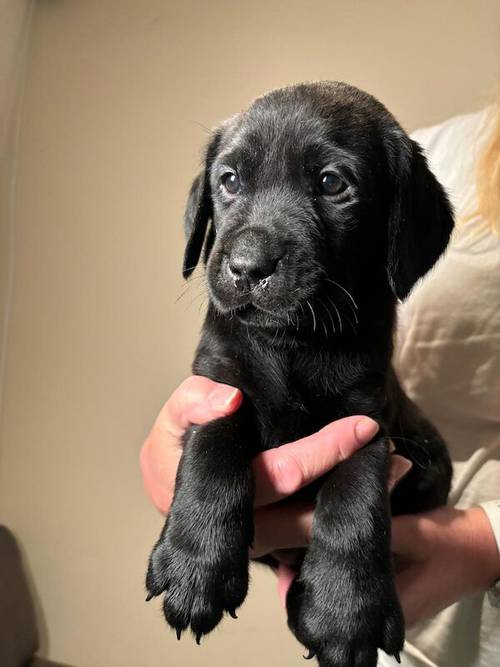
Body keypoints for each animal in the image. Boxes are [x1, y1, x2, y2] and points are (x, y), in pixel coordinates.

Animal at [146, 83, 454, 667]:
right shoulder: (218, 386)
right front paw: (196, 564)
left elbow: (355, 502)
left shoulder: (365, 419)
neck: (294, 344)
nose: (247, 267)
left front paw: (344, 612)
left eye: (333, 184)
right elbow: (213, 447)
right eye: (230, 180)